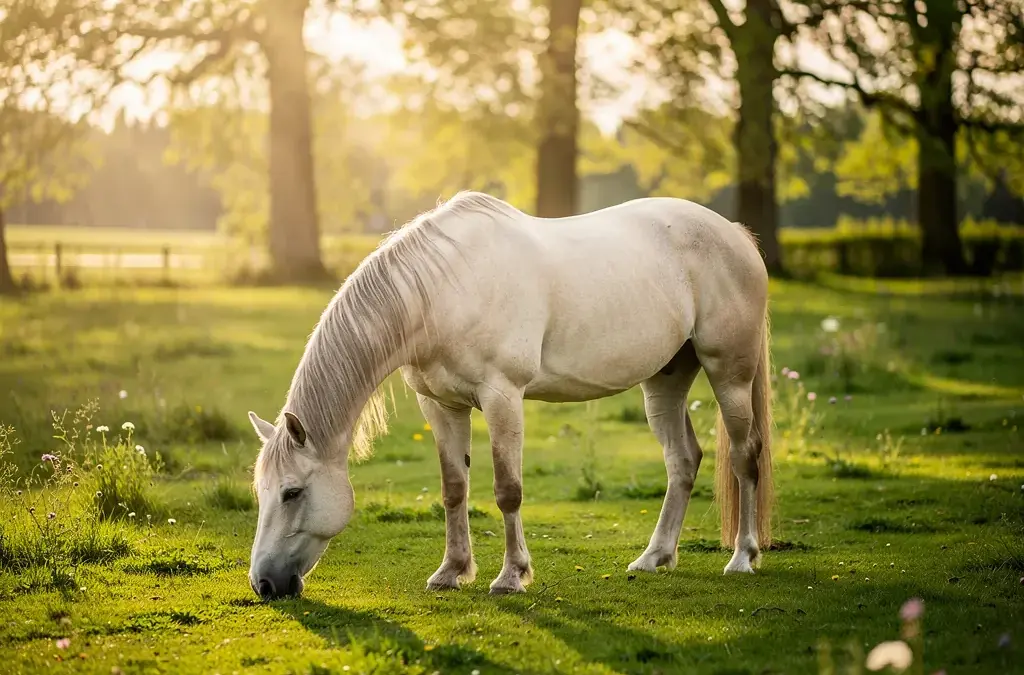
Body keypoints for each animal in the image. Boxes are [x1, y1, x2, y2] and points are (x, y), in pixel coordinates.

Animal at [245, 191, 774, 600]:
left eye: (292, 492)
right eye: (262, 492)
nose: (264, 584)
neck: (444, 291)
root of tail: (733, 233)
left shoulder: (503, 397)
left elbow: (508, 490)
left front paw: (511, 577)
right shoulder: (441, 406)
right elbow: (454, 489)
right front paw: (451, 572)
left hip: (729, 374)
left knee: (745, 456)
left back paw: (742, 558)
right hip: (665, 381)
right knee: (682, 460)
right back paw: (654, 557)